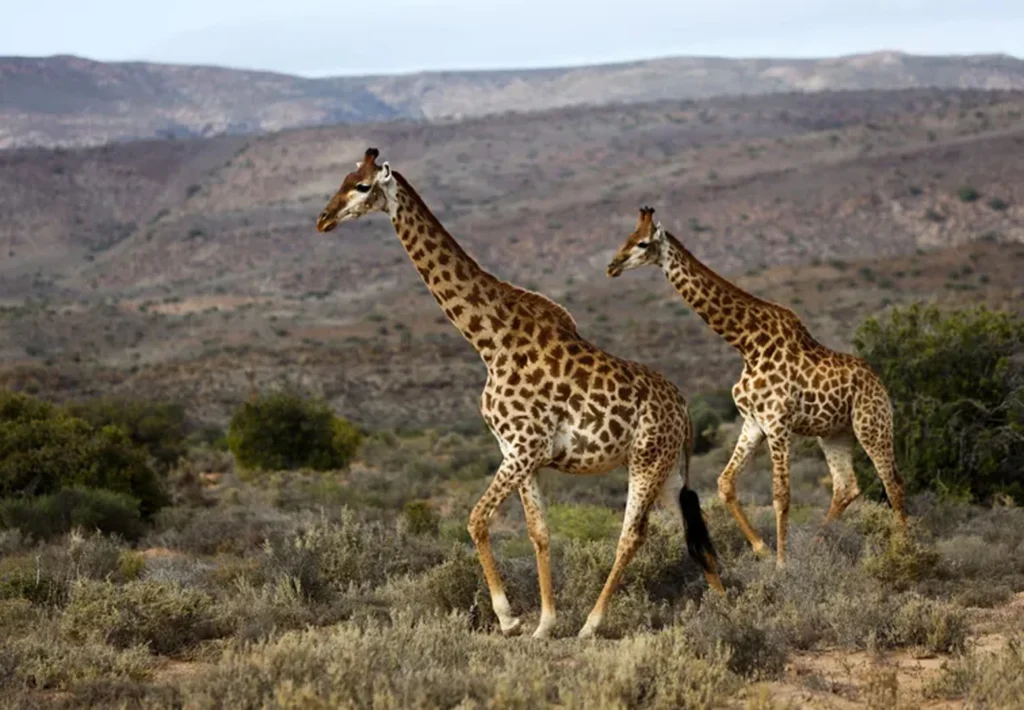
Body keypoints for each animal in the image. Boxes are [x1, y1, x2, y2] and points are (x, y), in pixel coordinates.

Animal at [315, 148, 724, 635]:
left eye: (361, 186)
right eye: (343, 178)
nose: (323, 219)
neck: (490, 341)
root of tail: (684, 409)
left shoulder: (525, 448)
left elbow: (476, 519)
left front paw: (508, 617)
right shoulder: (517, 452)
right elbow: (538, 533)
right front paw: (544, 624)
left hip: (647, 459)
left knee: (632, 534)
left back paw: (592, 624)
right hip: (667, 468)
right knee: (691, 524)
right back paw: (728, 607)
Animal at [602, 204, 909, 565]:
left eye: (642, 243)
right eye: (627, 236)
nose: (612, 266)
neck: (748, 344)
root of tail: (880, 383)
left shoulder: (778, 423)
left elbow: (781, 495)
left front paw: (781, 563)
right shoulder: (753, 422)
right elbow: (725, 483)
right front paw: (763, 548)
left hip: (871, 424)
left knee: (893, 483)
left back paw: (907, 551)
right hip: (834, 433)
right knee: (846, 486)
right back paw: (816, 544)